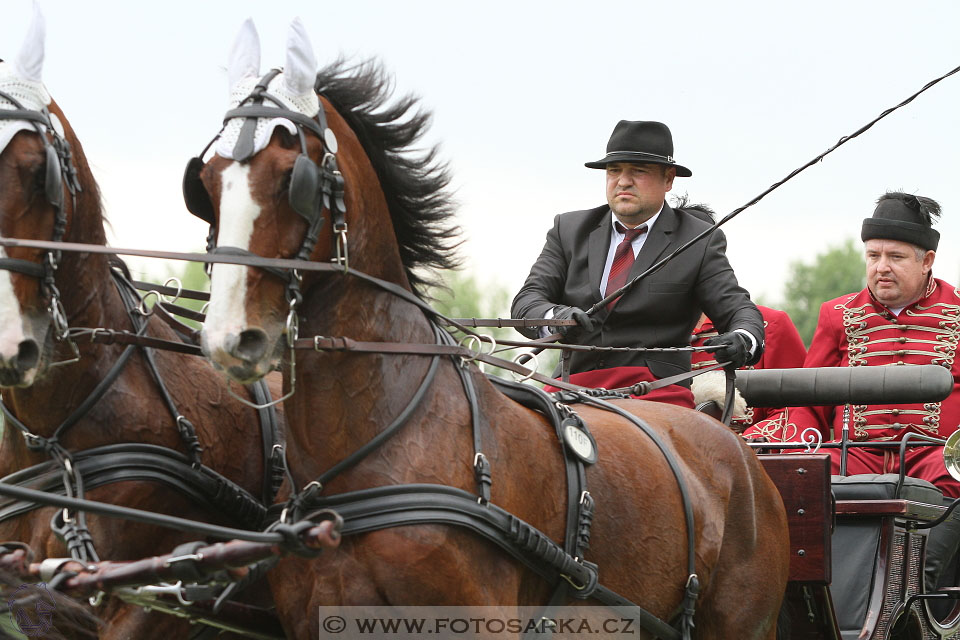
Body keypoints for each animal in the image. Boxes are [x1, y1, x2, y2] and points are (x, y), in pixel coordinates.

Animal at [193, 20, 788, 640]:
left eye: (295, 179)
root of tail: (733, 445)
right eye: (204, 181)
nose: (230, 336)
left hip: (745, 623)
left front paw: (739, 337)